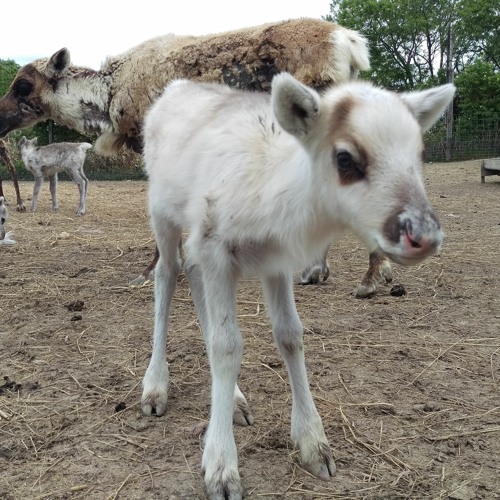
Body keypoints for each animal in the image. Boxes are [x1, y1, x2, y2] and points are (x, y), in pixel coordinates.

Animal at [0, 18, 390, 291]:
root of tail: (351, 45)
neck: (108, 98)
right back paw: (321, 272)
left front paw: (152, 269)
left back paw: (368, 279)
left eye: (23, 85)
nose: (0, 118)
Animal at [141, 73, 455, 498]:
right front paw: (221, 468)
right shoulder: (217, 244)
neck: (272, 190)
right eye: (345, 158)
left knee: (190, 269)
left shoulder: (273, 260)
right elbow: (228, 346)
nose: (424, 237)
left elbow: (290, 335)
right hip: (161, 209)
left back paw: (235, 400)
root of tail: (177, 86)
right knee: (167, 272)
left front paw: (313, 444)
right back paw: (155, 386)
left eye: (420, 152)